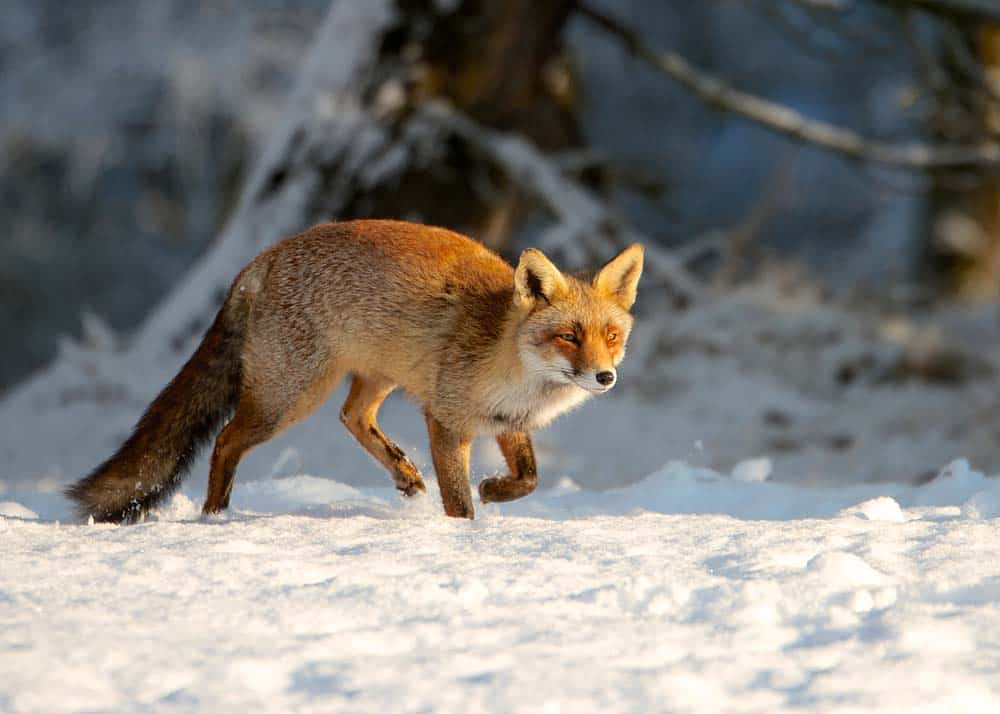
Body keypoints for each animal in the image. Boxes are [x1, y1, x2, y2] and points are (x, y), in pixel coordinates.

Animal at [66, 220, 644, 520]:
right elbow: (459, 500)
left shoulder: (506, 423)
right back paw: (216, 514)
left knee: (353, 417)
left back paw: (405, 475)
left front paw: (495, 491)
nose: (605, 377)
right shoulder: (446, 419)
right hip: (289, 397)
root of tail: (263, 257)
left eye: (611, 336)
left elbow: (529, 477)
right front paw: (466, 534)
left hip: (376, 374)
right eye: (568, 336)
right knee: (227, 439)